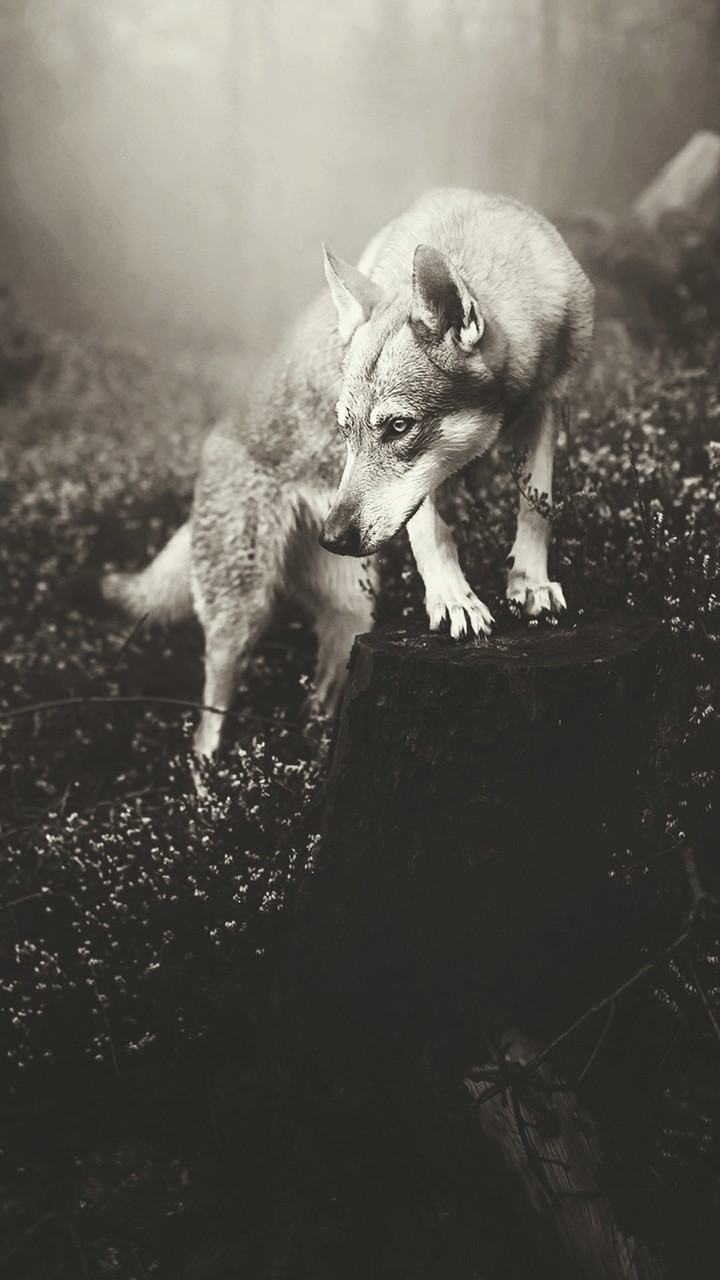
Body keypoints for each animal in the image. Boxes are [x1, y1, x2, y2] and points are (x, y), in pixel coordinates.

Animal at [103, 188, 594, 763]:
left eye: (398, 426)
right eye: (344, 431)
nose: (332, 538)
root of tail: (211, 444)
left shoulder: (548, 404)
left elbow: (537, 507)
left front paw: (530, 586)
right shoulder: (424, 492)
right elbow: (434, 533)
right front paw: (454, 600)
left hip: (354, 617)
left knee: (317, 705)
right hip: (242, 620)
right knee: (206, 732)